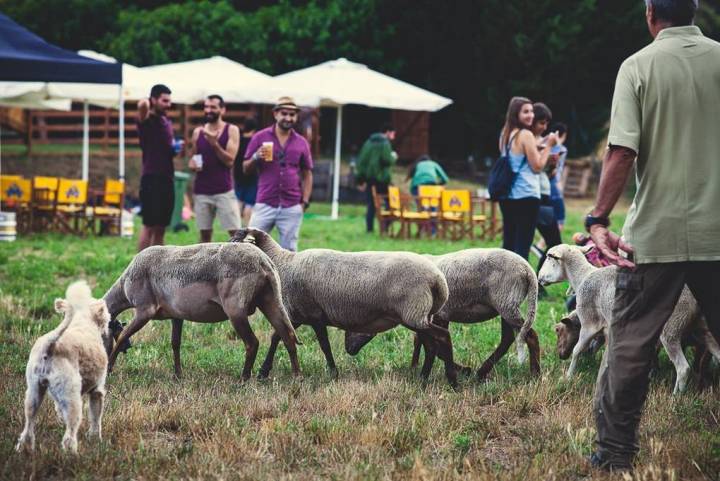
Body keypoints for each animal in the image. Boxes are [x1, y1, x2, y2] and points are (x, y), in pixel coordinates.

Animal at [16, 280, 111, 452]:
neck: (83, 322)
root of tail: (50, 345)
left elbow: (59, 410)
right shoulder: (97, 391)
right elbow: (96, 419)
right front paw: (96, 440)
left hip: (33, 392)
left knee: (28, 426)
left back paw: (25, 449)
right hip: (72, 396)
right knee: (69, 434)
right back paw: (72, 453)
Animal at [102, 242, 300, 380]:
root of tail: (264, 262)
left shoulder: (144, 310)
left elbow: (122, 337)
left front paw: (109, 368)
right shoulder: (176, 315)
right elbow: (175, 343)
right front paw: (178, 375)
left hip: (235, 309)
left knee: (252, 342)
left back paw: (243, 379)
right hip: (270, 300)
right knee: (287, 336)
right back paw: (296, 376)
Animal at [228, 227, 458, 388]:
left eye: (239, 240)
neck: (285, 263)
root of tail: (438, 281)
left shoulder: (313, 314)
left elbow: (324, 345)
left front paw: (333, 372)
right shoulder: (299, 314)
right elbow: (278, 337)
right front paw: (263, 372)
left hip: (414, 313)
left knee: (443, 337)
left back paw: (452, 381)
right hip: (420, 315)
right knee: (431, 345)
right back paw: (424, 378)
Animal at [344, 248, 540, 378]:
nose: (348, 350)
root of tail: (527, 270)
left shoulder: (438, 315)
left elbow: (437, 347)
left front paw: (460, 370)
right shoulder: (426, 315)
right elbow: (420, 341)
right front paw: (414, 367)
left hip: (507, 302)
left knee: (530, 336)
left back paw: (534, 374)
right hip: (505, 305)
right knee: (508, 338)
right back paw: (481, 372)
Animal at [540, 244, 720, 394]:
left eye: (549, 257)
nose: (540, 277)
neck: (582, 277)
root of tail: (694, 298)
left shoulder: (589, 323)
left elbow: (577, 349)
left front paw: (568, 377)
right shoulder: (608, 328)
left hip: (672, 327)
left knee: (683, 368)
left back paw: (676, 397)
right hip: (702, 327)